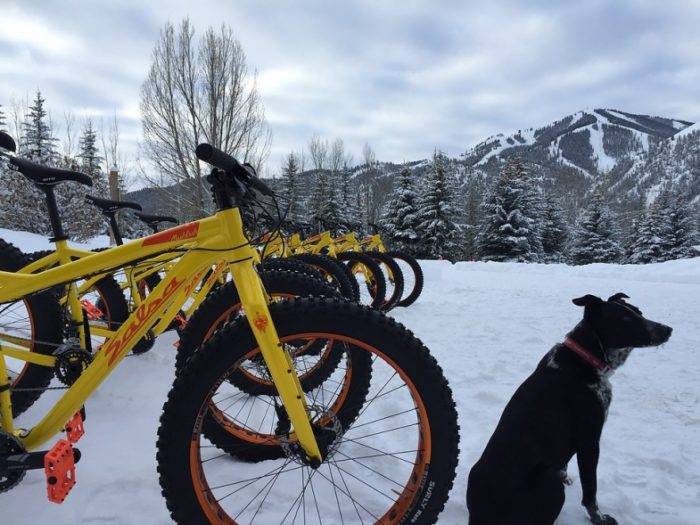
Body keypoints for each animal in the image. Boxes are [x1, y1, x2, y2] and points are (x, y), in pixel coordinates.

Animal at [464, 292, 672, 520]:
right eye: (625, 319)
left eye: (639, 312)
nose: (668, 330)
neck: (585, 358)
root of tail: (481, 513)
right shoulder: (589, 439)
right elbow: (591, 490)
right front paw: (599, 518)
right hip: (550, 482)